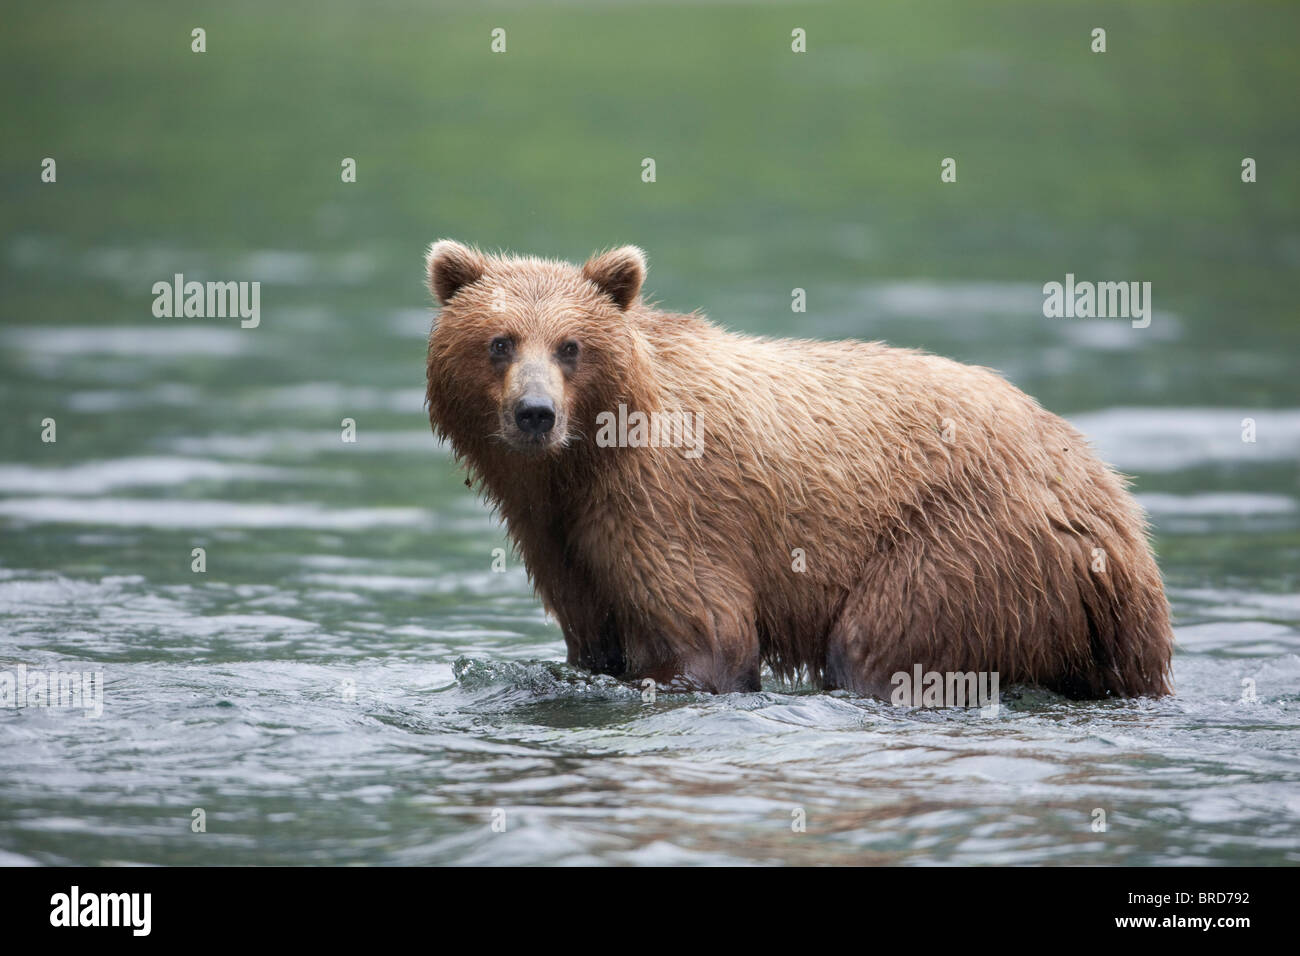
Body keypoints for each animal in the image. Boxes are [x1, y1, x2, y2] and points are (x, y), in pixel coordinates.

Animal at [426, 243, 1180, 697]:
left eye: (570, 346)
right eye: (499, 342)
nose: (535, 413)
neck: (582, 462)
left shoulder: (663, 505)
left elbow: (708, 634)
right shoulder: (560, 538)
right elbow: (593, 634)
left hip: (967, 545)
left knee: (877, 643)